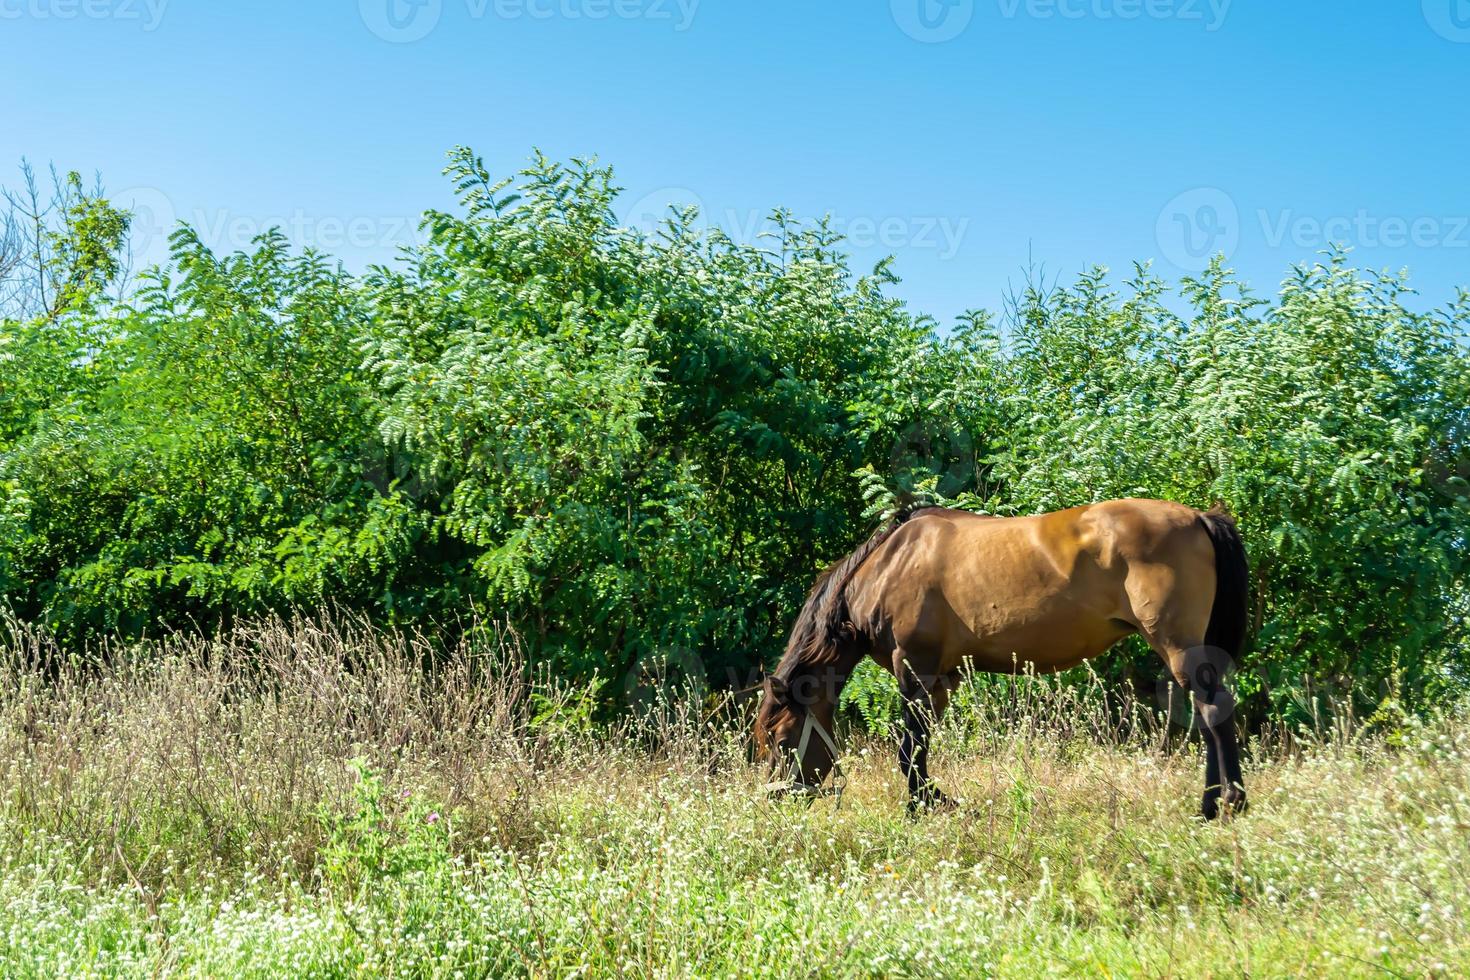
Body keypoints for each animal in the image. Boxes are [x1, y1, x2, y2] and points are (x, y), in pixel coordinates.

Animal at [758, 499, 1252, 822]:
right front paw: (934, 800)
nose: (781, 800)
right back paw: (1212, 804)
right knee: (1208, 717)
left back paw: (1224, 804)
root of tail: (1199, 517)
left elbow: (909, 749)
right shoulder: (943, 679)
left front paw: (922, 808)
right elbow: (921, 746)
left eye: (782, 740)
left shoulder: (913, 666)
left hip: (1178, 647)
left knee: (1213, 712)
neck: (888, 564)